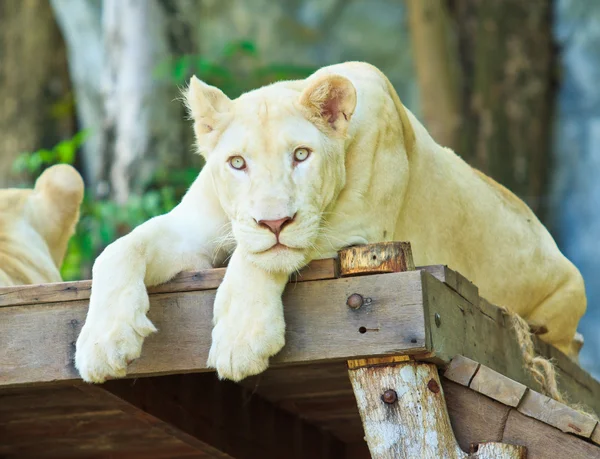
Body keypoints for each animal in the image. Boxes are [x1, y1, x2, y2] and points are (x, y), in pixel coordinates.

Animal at [75, 62, 584, 384]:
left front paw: (241, 339)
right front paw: (101, 344)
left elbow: (255, 260)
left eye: (301, 155)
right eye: (237, 163)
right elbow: (118, 249)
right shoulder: (192, 228)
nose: (274, 221)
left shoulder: (357, 227)